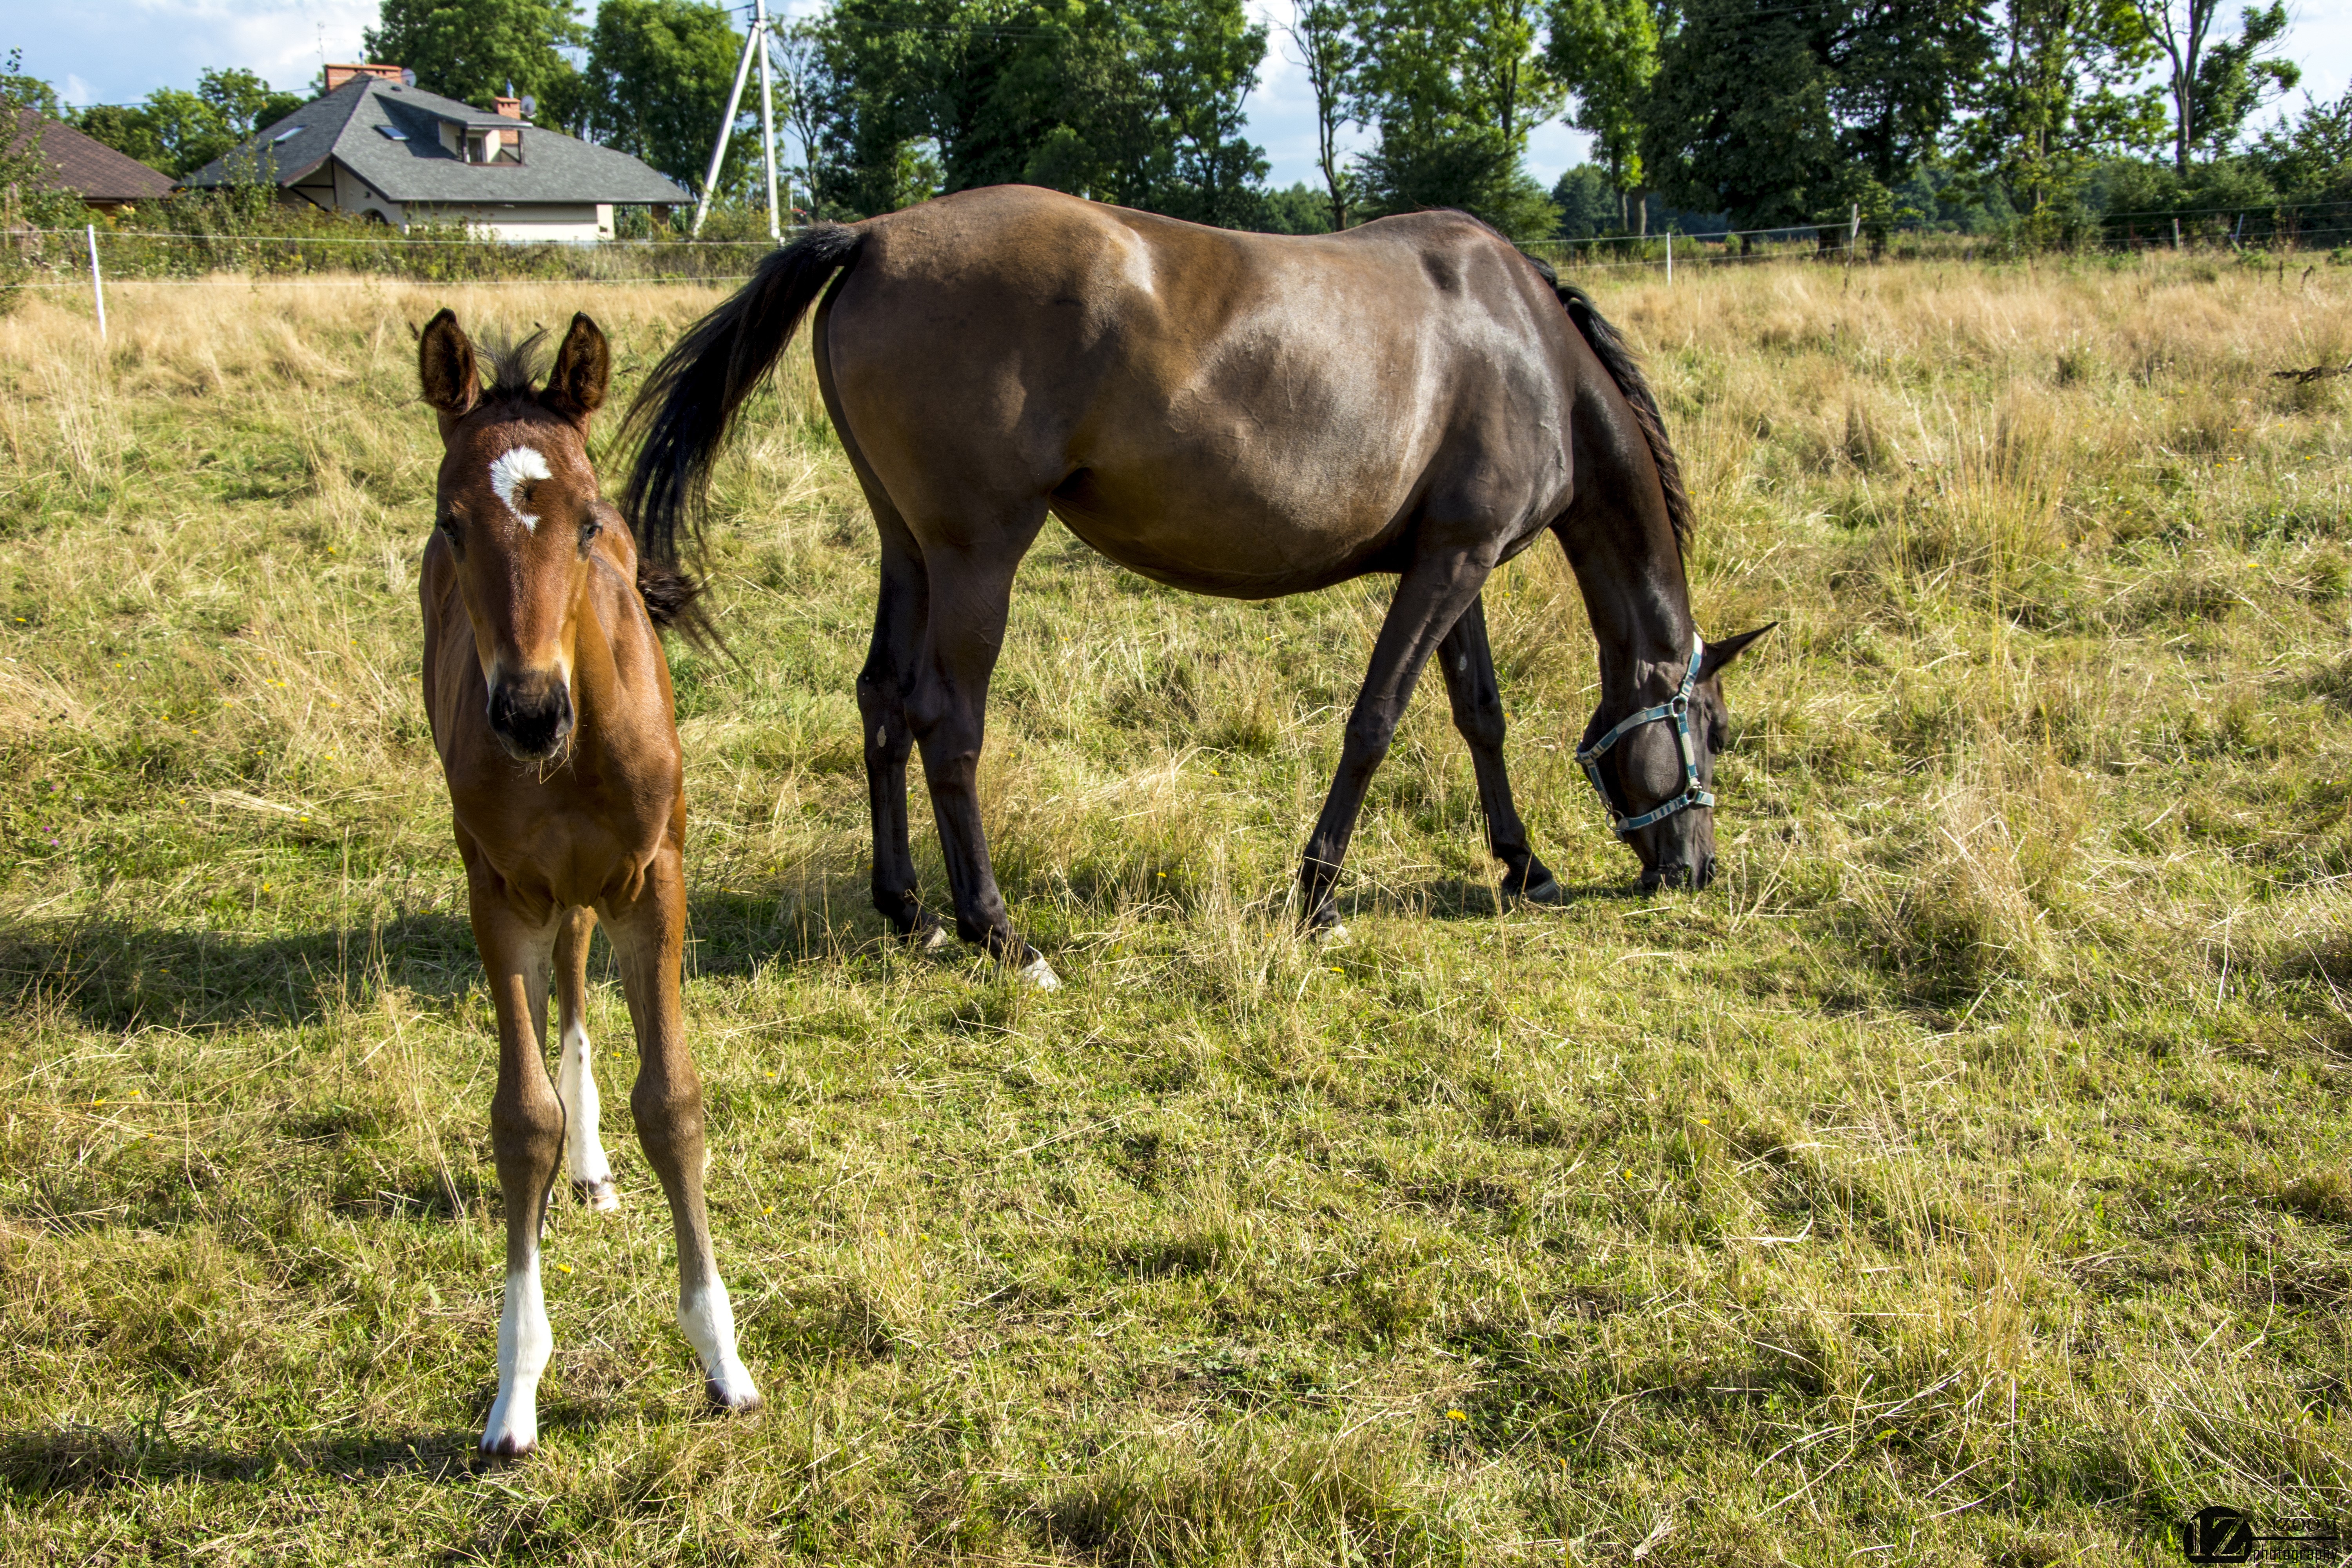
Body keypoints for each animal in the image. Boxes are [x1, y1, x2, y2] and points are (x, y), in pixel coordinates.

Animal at [415, 309, 759, 1455]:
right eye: (452, 523)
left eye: (587, 522)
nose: (526, 712)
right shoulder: (497, 889)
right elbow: (521, 1120)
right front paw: (515, 1389)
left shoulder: (652, 880)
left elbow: (676, 1102)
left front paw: (724, 1361)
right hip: (544, 886)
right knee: (563, 972)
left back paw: (597, 1162)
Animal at [624, 185, 1770, 985]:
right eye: (1712, 726)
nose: (1694, 870)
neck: (1531, 349)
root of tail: (871, 237)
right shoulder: (1453, 561)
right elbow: (1377, 719)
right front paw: (1318, 897)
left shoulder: (1458, 560)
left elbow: (1478, 713)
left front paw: (1524, 868)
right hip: (975, 556)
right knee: (947, 724)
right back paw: (998, 933)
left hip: (906, 549)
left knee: (880, 704)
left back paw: (910, 911)